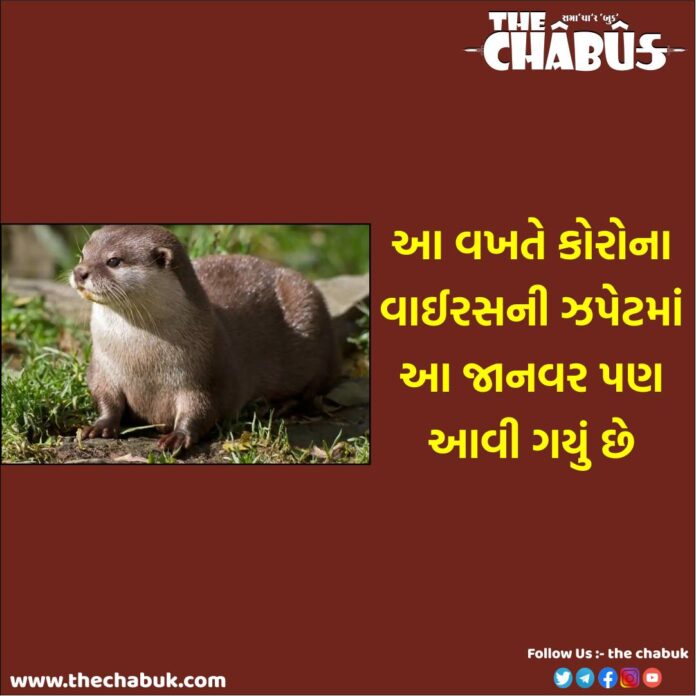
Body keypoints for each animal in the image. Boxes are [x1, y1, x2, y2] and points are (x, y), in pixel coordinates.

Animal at [70, 225, 341, 451]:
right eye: (82, 255)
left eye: (113, 260)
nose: (79, 272)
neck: (140, 360)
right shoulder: (103, 368)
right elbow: (105, 397)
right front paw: (101, 425)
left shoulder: (204, 377)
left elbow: (202, 409)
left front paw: (178, 436)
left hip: (311, 318)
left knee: (316, 386)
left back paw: (279, 406)